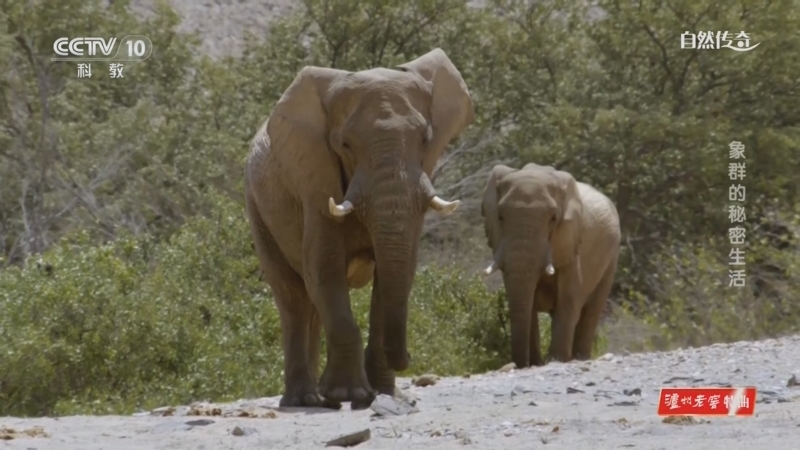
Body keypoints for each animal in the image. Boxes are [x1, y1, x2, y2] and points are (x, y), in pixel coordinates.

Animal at [244, 48, 474, 410]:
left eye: (425, 139)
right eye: (345, 145)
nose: (408, 359)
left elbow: (398, 271)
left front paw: (380, 393)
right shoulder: (314, 179)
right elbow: (324, 268)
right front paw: (348, 395)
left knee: (310, 306)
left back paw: (319, 397)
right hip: (257, 208)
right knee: (293, 298)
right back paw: (304, 399)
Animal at [481, 163, 620, 368]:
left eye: (553, 218)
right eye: (500, 217)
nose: (518, 365)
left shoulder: (570, 241)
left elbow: (568, 298)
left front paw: (556, 360)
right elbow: (526, 300)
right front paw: (536, 363)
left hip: (612, 256)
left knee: (591, 312)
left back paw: (578, 358)